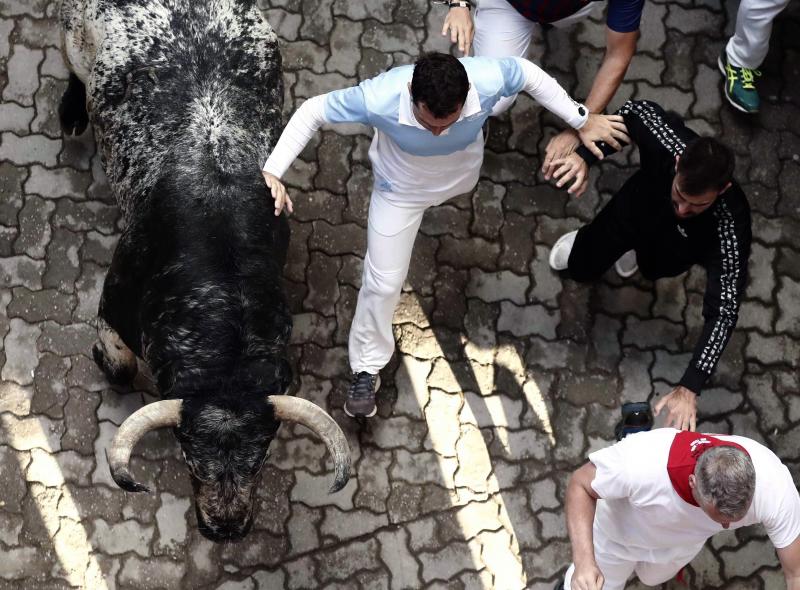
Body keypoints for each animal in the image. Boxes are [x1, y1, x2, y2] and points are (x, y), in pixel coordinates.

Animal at [59, 0, 350, 544]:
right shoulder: (112, 306)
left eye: (260, 462)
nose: (226, 529)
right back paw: (71, 112)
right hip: (72, 33)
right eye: (192, 462)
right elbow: (120, 364)